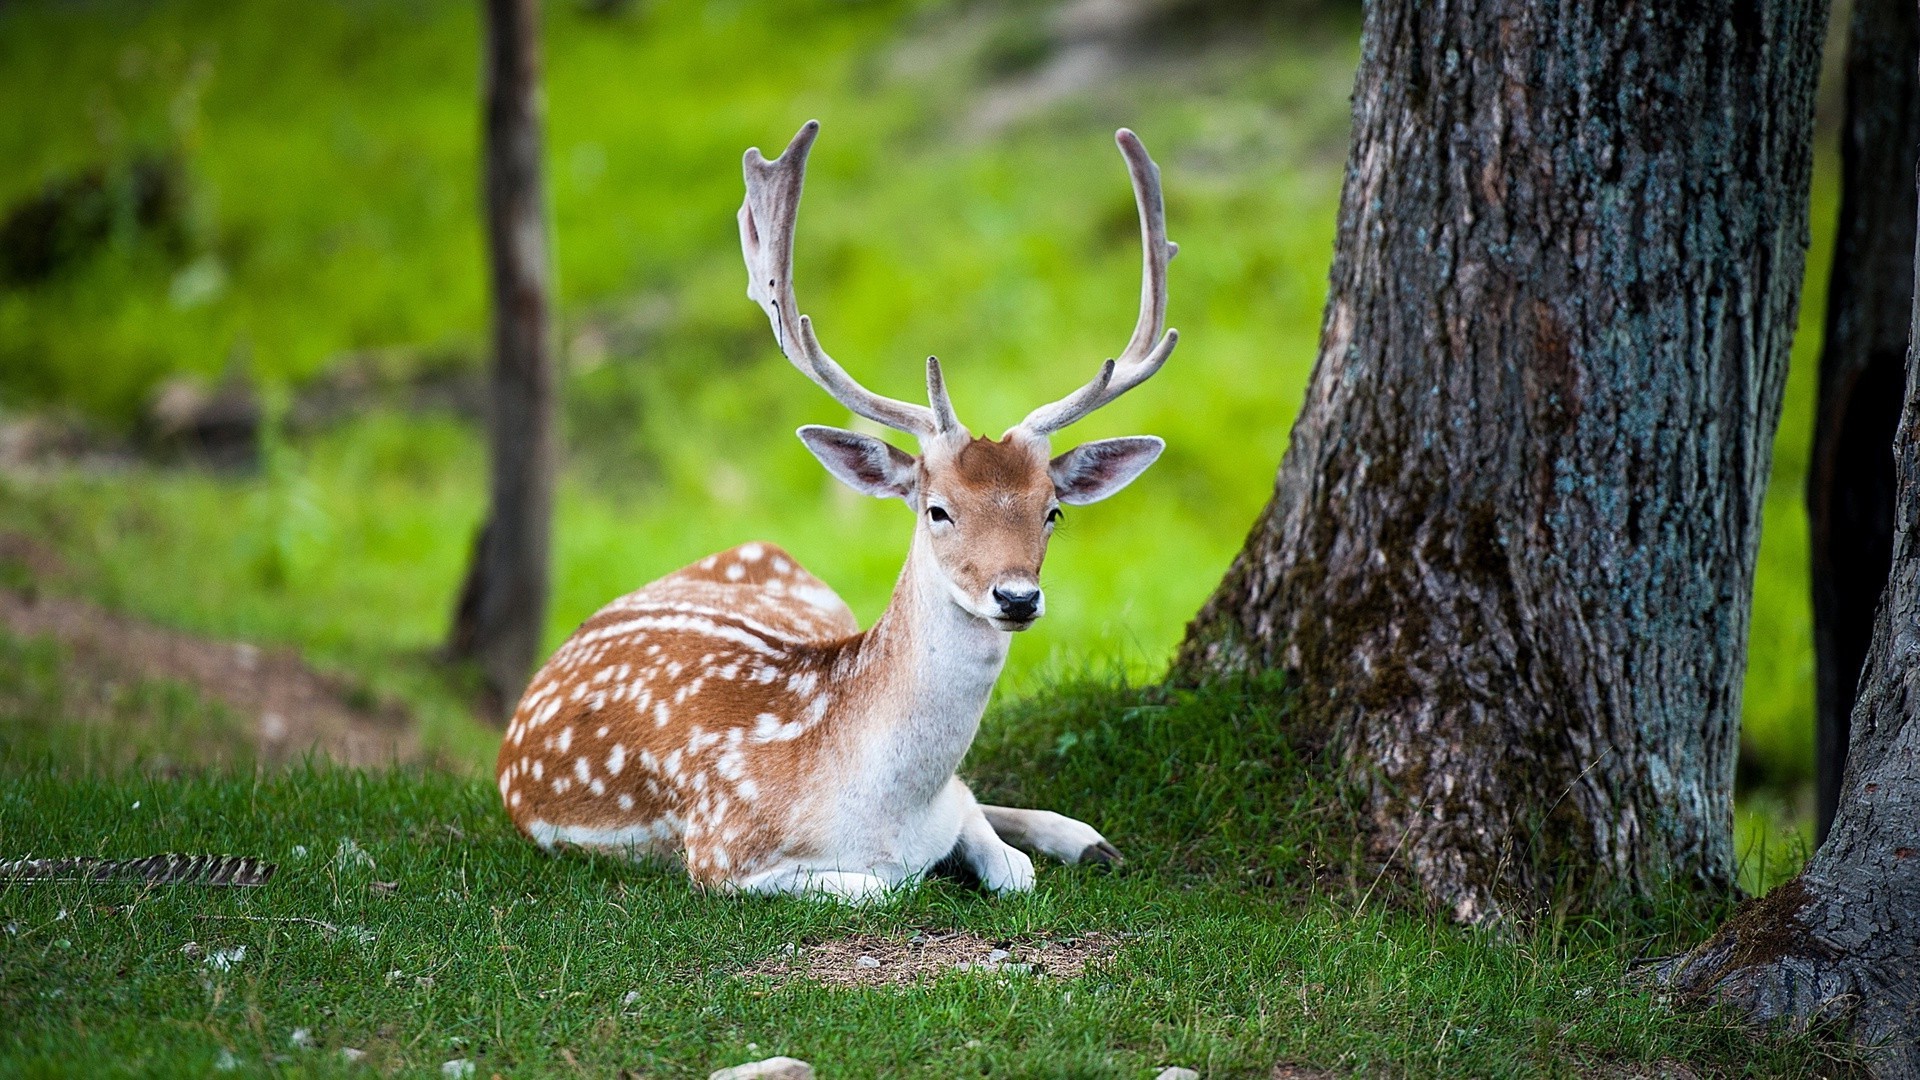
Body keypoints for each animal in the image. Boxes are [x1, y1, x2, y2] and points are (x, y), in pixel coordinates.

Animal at [495, 119, 1175, 899]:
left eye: (1051, 511)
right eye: (937, 510)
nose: (1016, 597)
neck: (884, 808)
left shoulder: (949, 806)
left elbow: (1007, 862)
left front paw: (1058, 842)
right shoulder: (720, 853)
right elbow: (889, 884)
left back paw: (1088, 839)